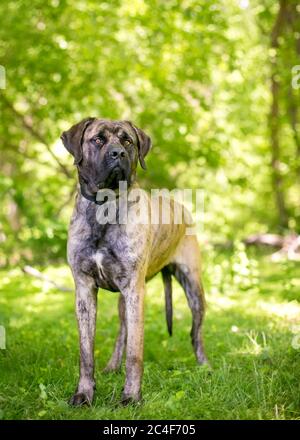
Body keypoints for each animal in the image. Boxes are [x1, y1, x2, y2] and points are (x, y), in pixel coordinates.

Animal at [61, 117, 209, 406]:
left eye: (127, 140)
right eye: (98, 139)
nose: (118, 153)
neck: (104, 208)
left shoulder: (134, 291)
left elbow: (135, 353)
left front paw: (131, 396)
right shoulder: (84, 289)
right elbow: (86, 352)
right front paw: (84, 393)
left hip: (193, 286)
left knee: (195, 332)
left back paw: (204, 364)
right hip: (124, 299)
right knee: (122, 332)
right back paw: (111, 366)